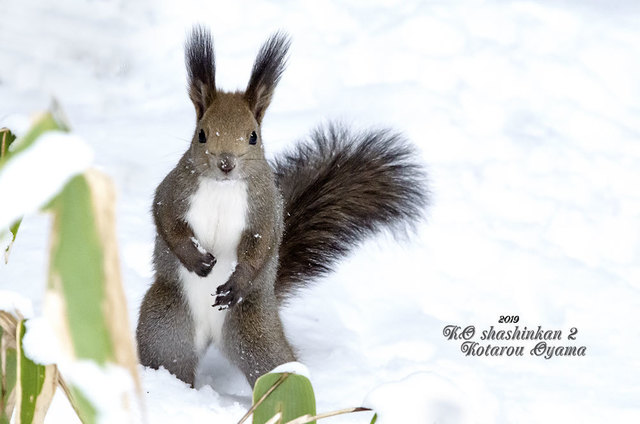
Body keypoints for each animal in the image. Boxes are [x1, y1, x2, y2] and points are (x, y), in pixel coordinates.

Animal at [137, 24, 428, 388]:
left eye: (253, 136)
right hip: (167, 328)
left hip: (256, 332)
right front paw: (196, 260)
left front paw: (236, 282)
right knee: (170, 360)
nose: (226, 163)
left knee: (277, 369)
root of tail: (212, 336)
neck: (223, 187)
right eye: (201, 134)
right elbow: (166, 219)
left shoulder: (266, 208)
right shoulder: (174, 190)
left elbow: (263, 242)